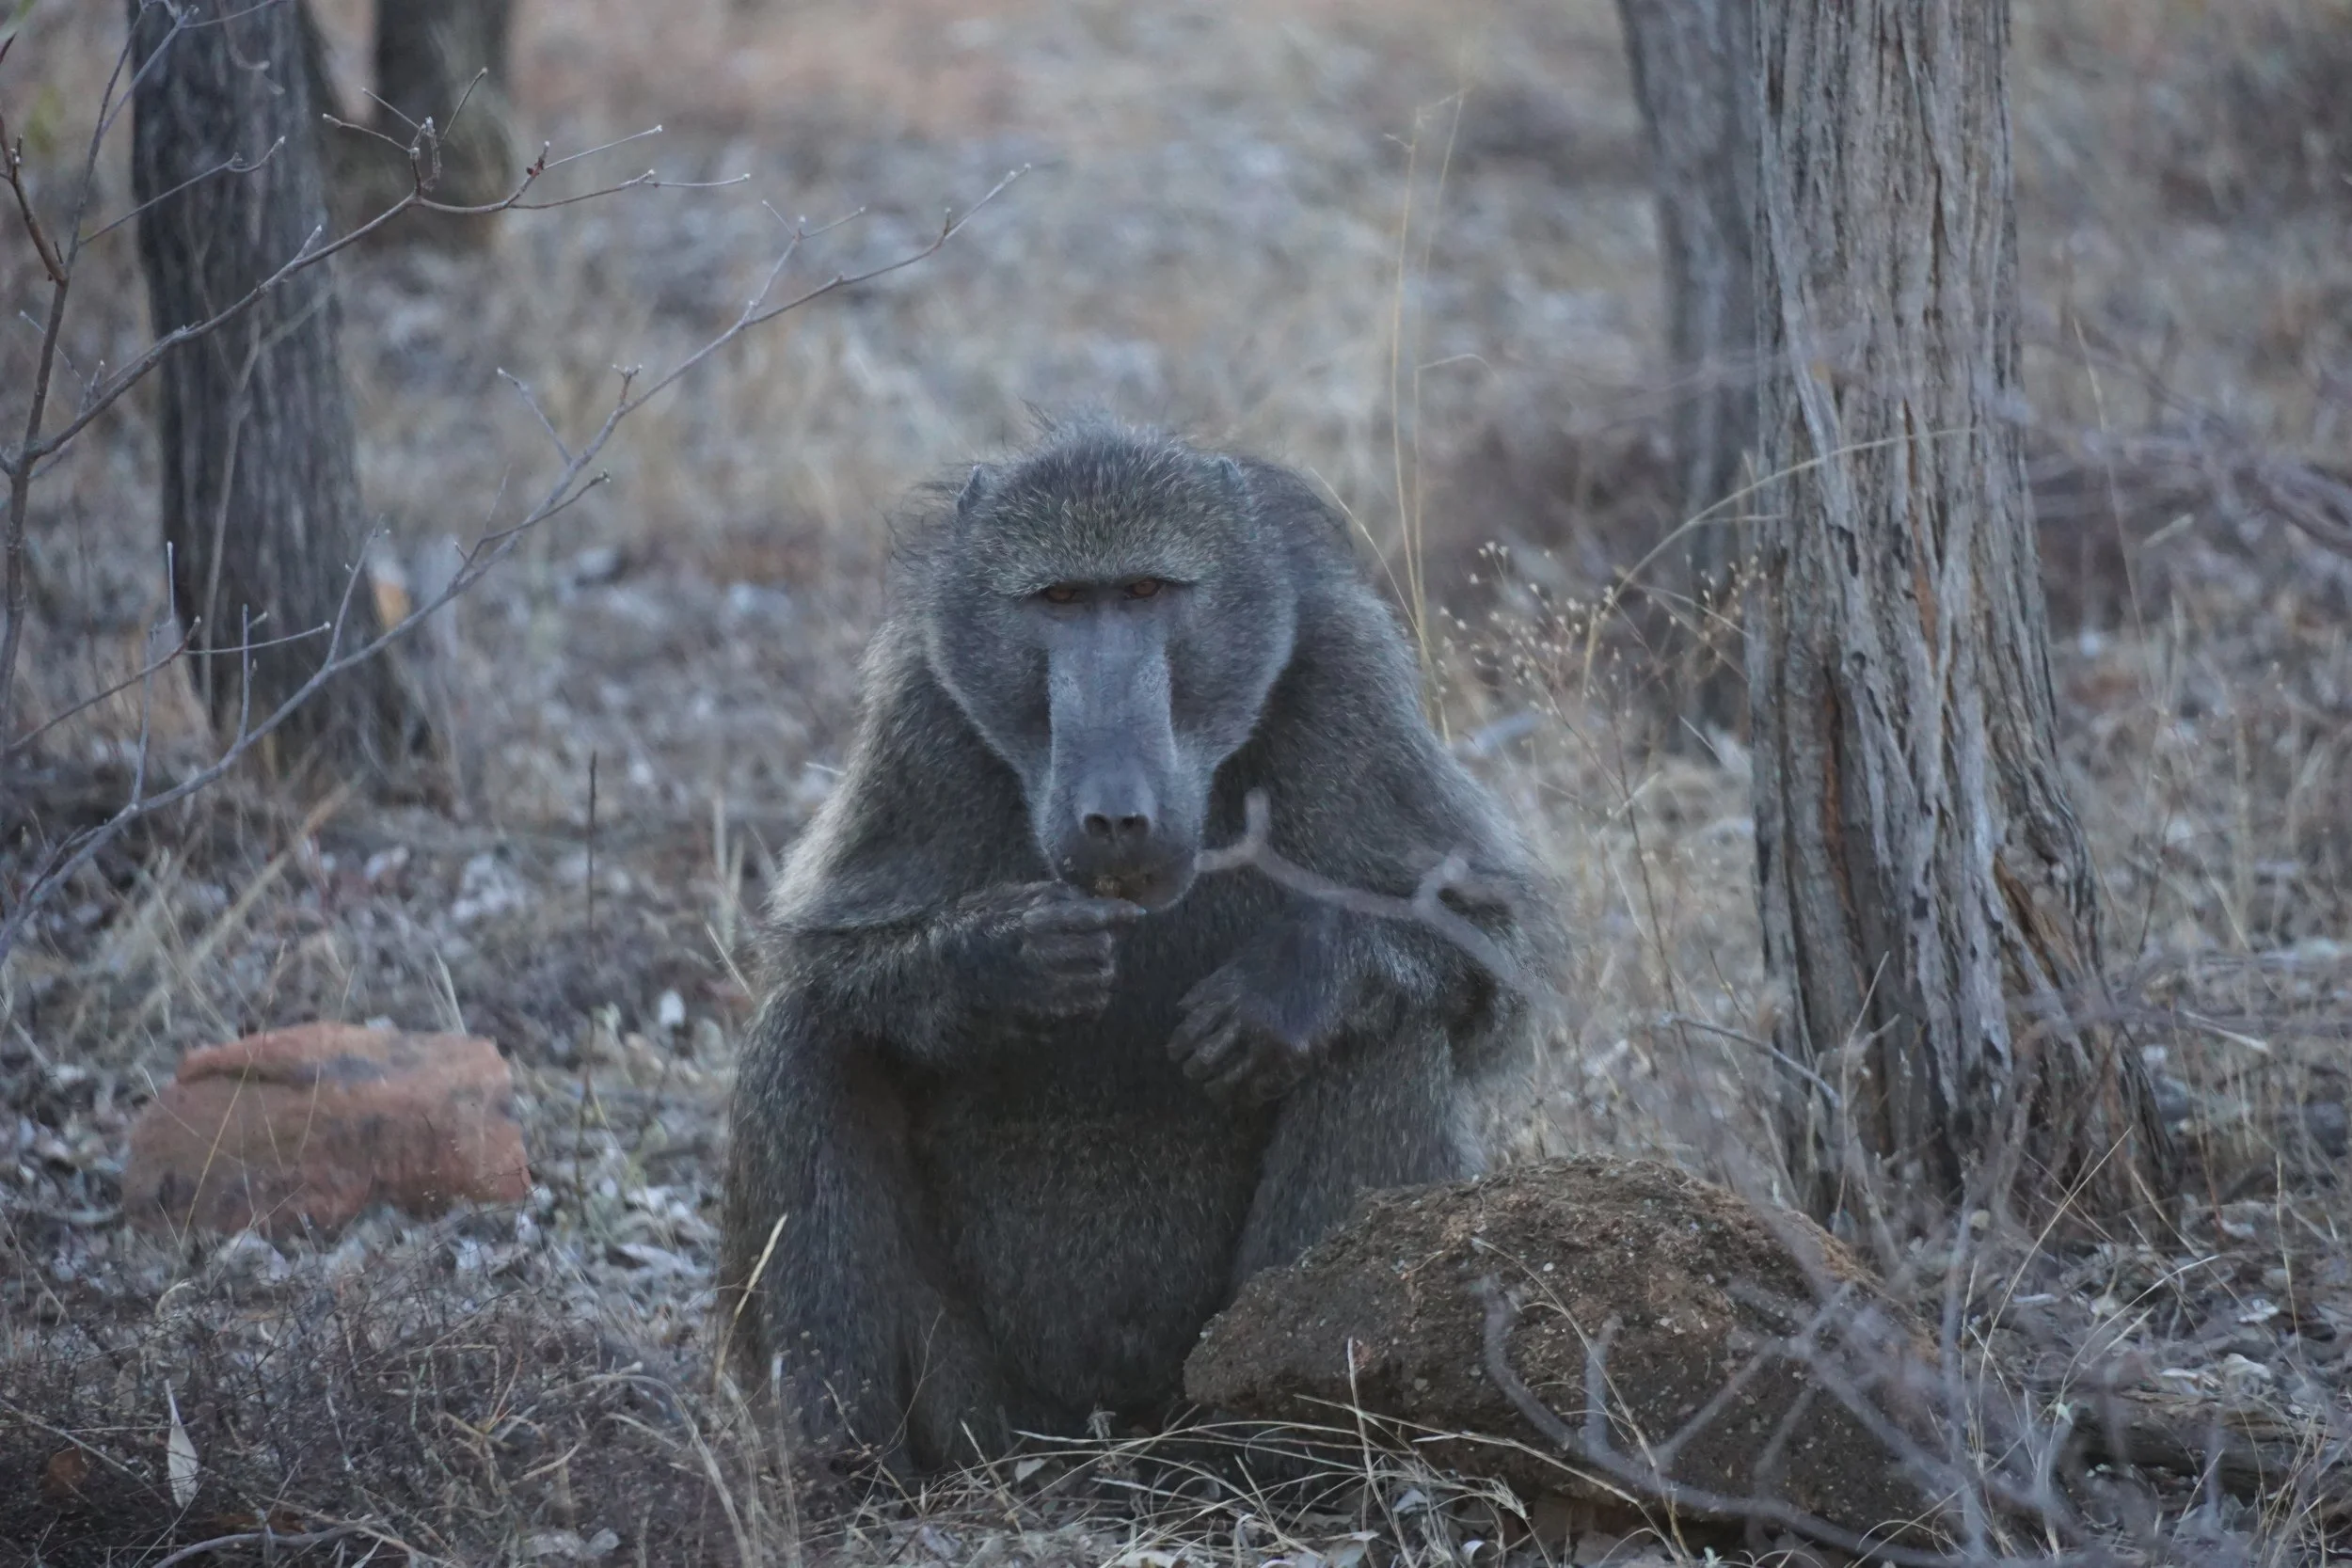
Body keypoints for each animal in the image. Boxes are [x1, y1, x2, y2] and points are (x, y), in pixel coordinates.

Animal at [716, 421, 1563, 1474]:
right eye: (1061, 601)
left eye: (1148, 591)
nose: (1115, 817)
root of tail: (1110, 1434)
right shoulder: (920, 714)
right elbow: (822, 959)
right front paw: (995, 964)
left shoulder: (1349, 685)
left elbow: (1489, 954)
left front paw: (1291, 982)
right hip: (982, 1413)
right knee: (809, 1036)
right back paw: (849, 1476)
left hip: (1203, 1381)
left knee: (1388, 1031)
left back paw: (1305, 1446)